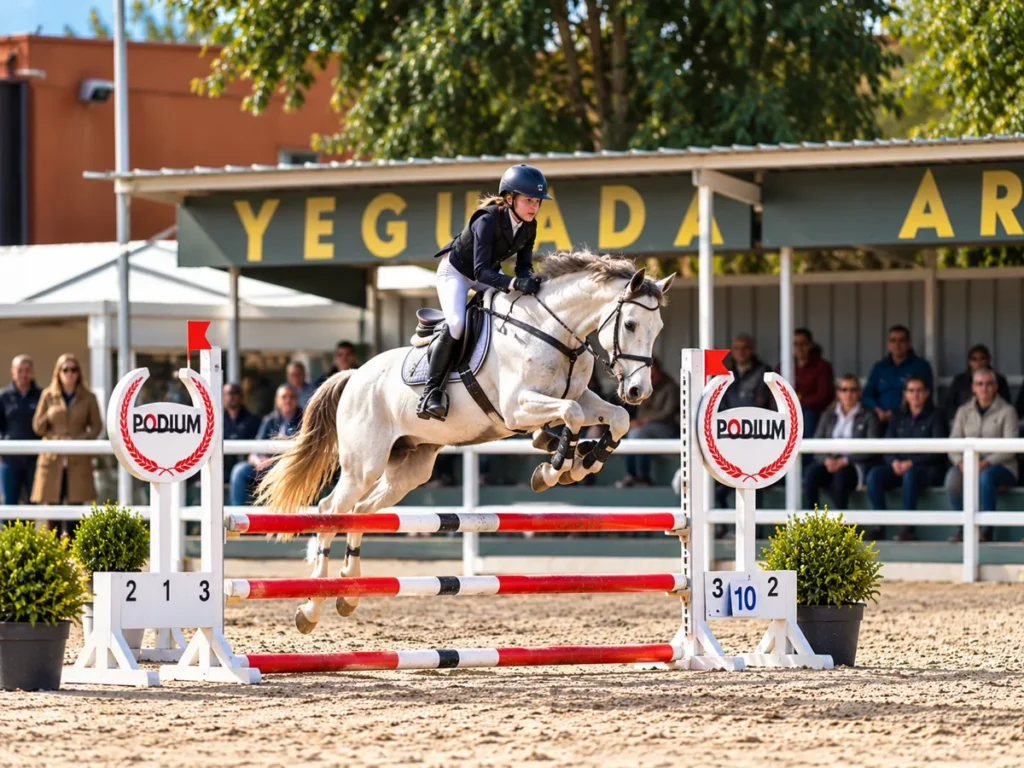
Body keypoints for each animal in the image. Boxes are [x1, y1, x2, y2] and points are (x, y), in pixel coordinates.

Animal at [255, 249, 676, 634]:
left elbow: (614, 418)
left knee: (360, 511)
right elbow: (570, 414)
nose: (639, 391)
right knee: (330, 511)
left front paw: (584, 459)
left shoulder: (581, 398)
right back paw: (311, 606)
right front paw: (555, 468)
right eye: (631, 324)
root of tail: (355, 375)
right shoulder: (517, 408)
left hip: (410, 468)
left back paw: (349, 592)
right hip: (364, 464)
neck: (552, 331)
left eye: (658, 328)